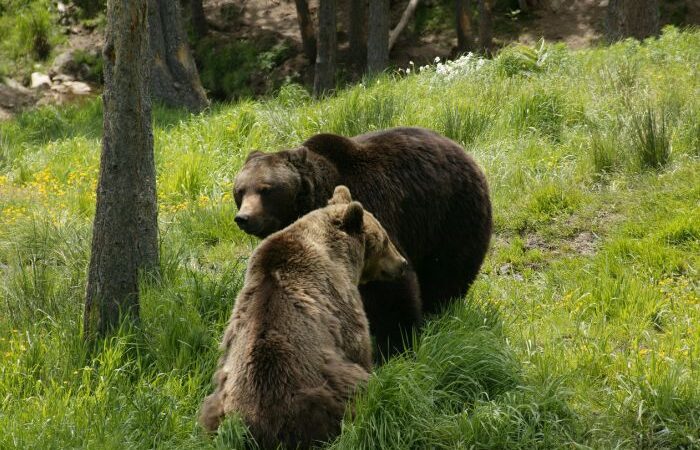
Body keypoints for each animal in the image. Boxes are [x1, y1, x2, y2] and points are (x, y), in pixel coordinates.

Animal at [199, 186, 408, 449]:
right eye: (385, 239)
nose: (402, 263)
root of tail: (262, 425)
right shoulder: (342, 299)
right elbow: (359, 344)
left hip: (220, 399)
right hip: (327, 391)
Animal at [232, 127, 492, 357]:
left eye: (266, 189)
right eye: (240, 190)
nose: (244, 218)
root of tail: (458, 147)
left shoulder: (371, 211)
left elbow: (389, 292)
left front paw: (394, 346)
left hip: (450, 214)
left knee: (446, 271)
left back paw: (439, 310)